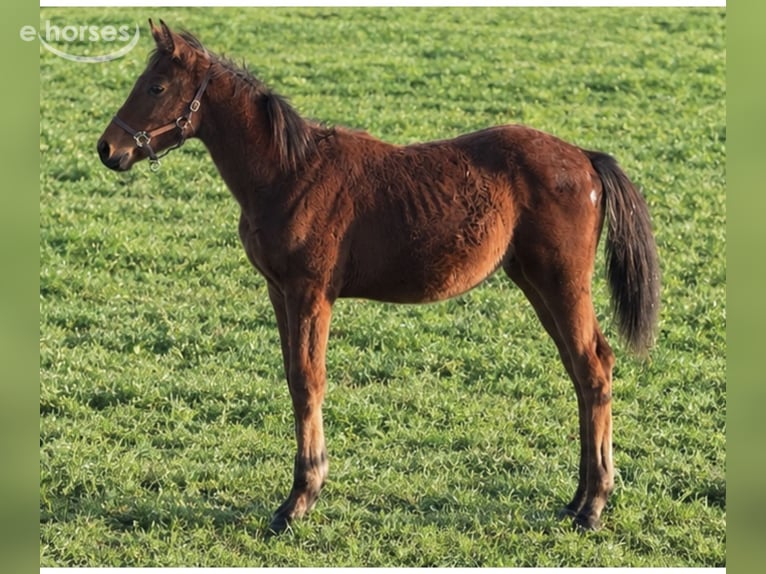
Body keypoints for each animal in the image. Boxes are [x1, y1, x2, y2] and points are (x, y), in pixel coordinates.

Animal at [97, 20, 660, 533]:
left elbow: (308, 381)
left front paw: (298, 501)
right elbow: (293, 378)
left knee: (593, 367)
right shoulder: (279, 292)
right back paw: (577, 500)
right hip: (536, 282)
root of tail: (585, 159)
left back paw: (592, 507)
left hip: (560, 281)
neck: (288, 172)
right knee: (582, 370)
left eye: (156, 87)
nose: (108, 149)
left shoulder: (310, 293)